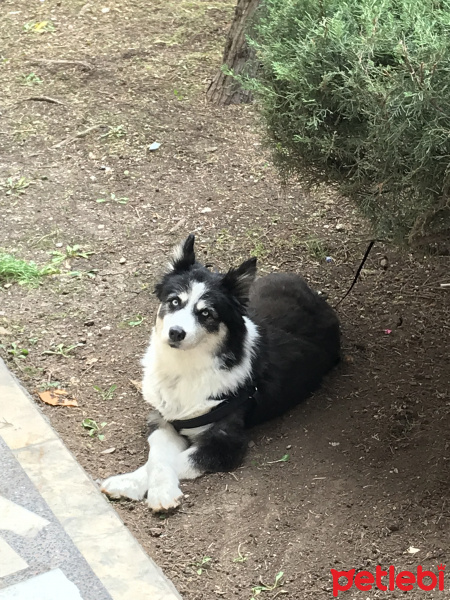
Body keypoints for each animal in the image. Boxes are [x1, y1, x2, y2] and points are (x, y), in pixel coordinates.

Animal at [102, 234, 340, 510]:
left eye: (206, 313)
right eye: (174, 301)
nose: (175, 333)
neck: (185, 368)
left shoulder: (226, 442)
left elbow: (174, 461)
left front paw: (161, 493)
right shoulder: (162, 418)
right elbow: (157, 457)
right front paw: (128, 483)